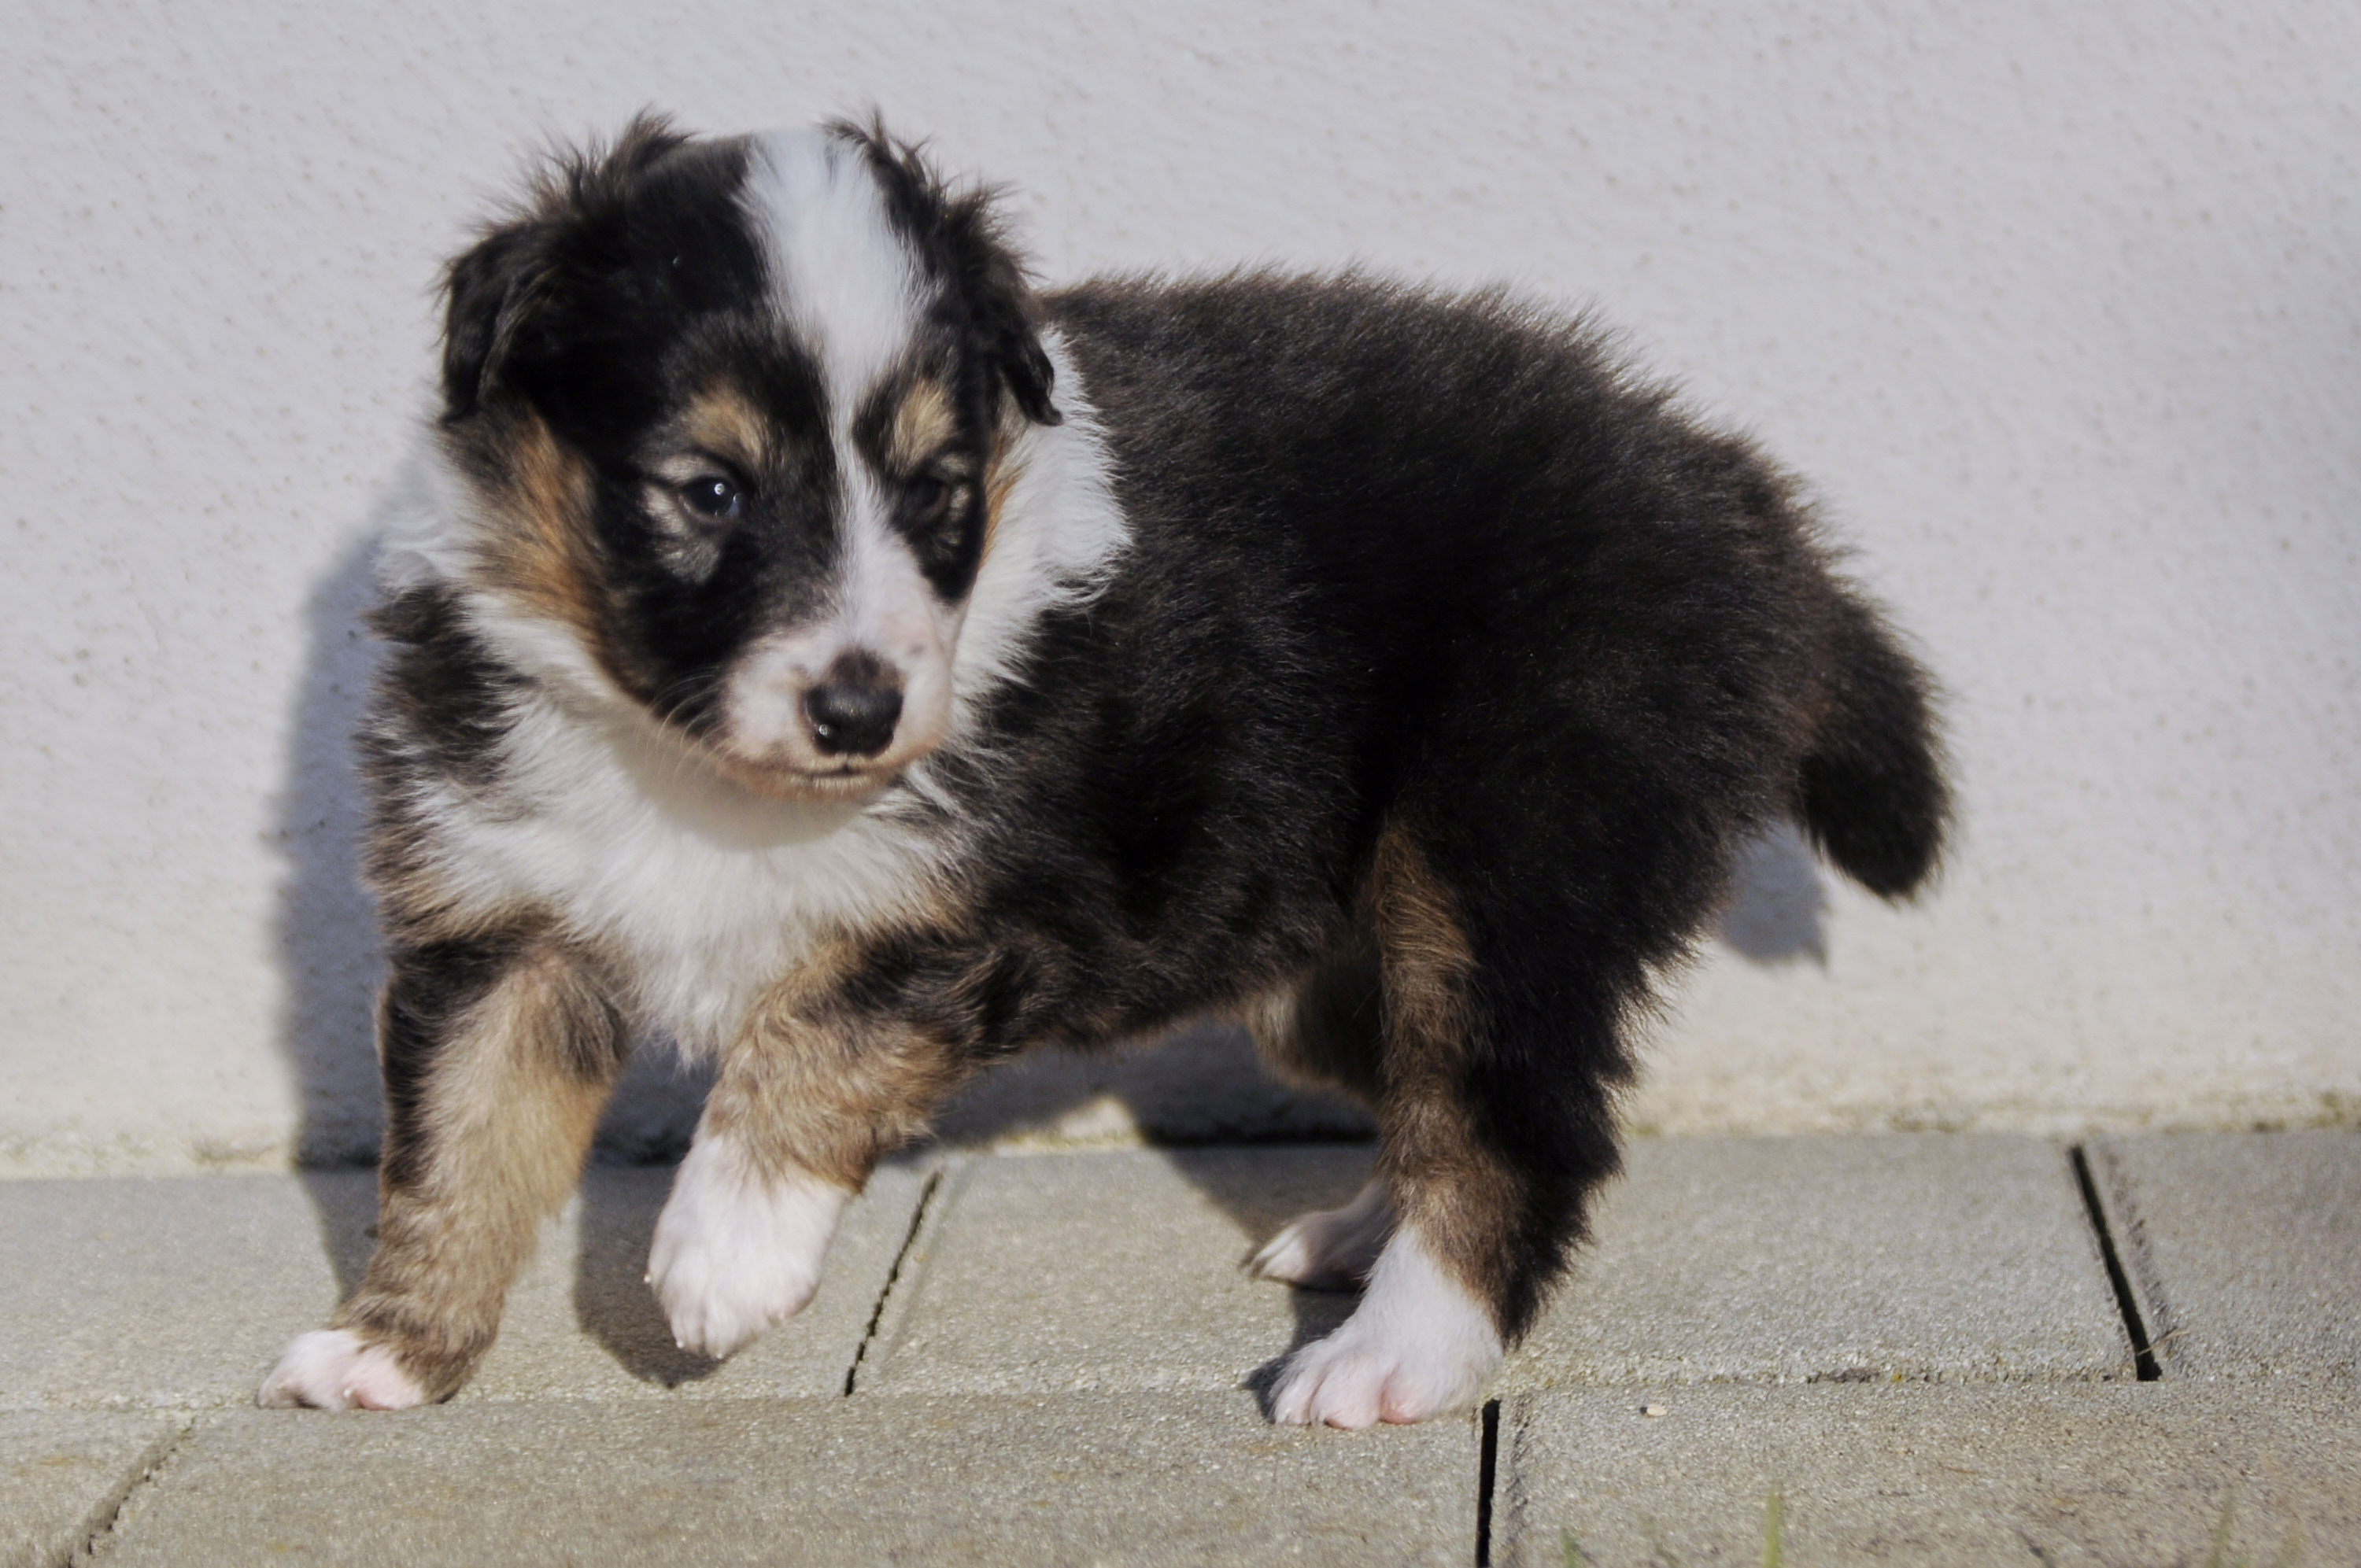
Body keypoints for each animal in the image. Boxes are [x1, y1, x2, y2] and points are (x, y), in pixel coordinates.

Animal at [259, 115, 1948, 1428]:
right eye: (710, 490)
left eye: (937, 488)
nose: (863, 709)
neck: (702, 766)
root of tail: (1732, 498)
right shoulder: (499, 920)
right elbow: (459, 1142)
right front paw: (389, 1349)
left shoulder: (999, 895)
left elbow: (816, 1023)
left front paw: (724, 1251)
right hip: (1332, 945)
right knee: (1426, 1092)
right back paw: (1353, 1235)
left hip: (1505, 852)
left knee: (1514, 1119)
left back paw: (1390, 1356)